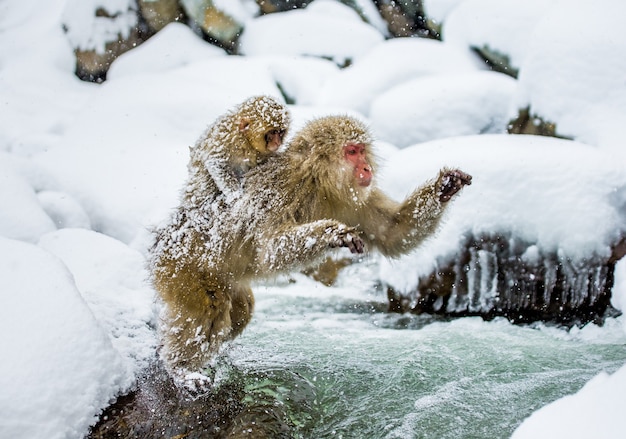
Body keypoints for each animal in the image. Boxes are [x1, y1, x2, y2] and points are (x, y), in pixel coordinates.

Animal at [150, 116, 468, 378]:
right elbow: (270, 251)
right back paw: (182, 371)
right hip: (180, 270)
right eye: (351, 152)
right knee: (210, 309)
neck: (317, 182)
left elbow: (393, 233)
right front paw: (332, 234)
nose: (366, 167)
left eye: (362, 150)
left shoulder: (353, 200)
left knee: (239, 313)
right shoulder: (279, 192)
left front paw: (445, 187)